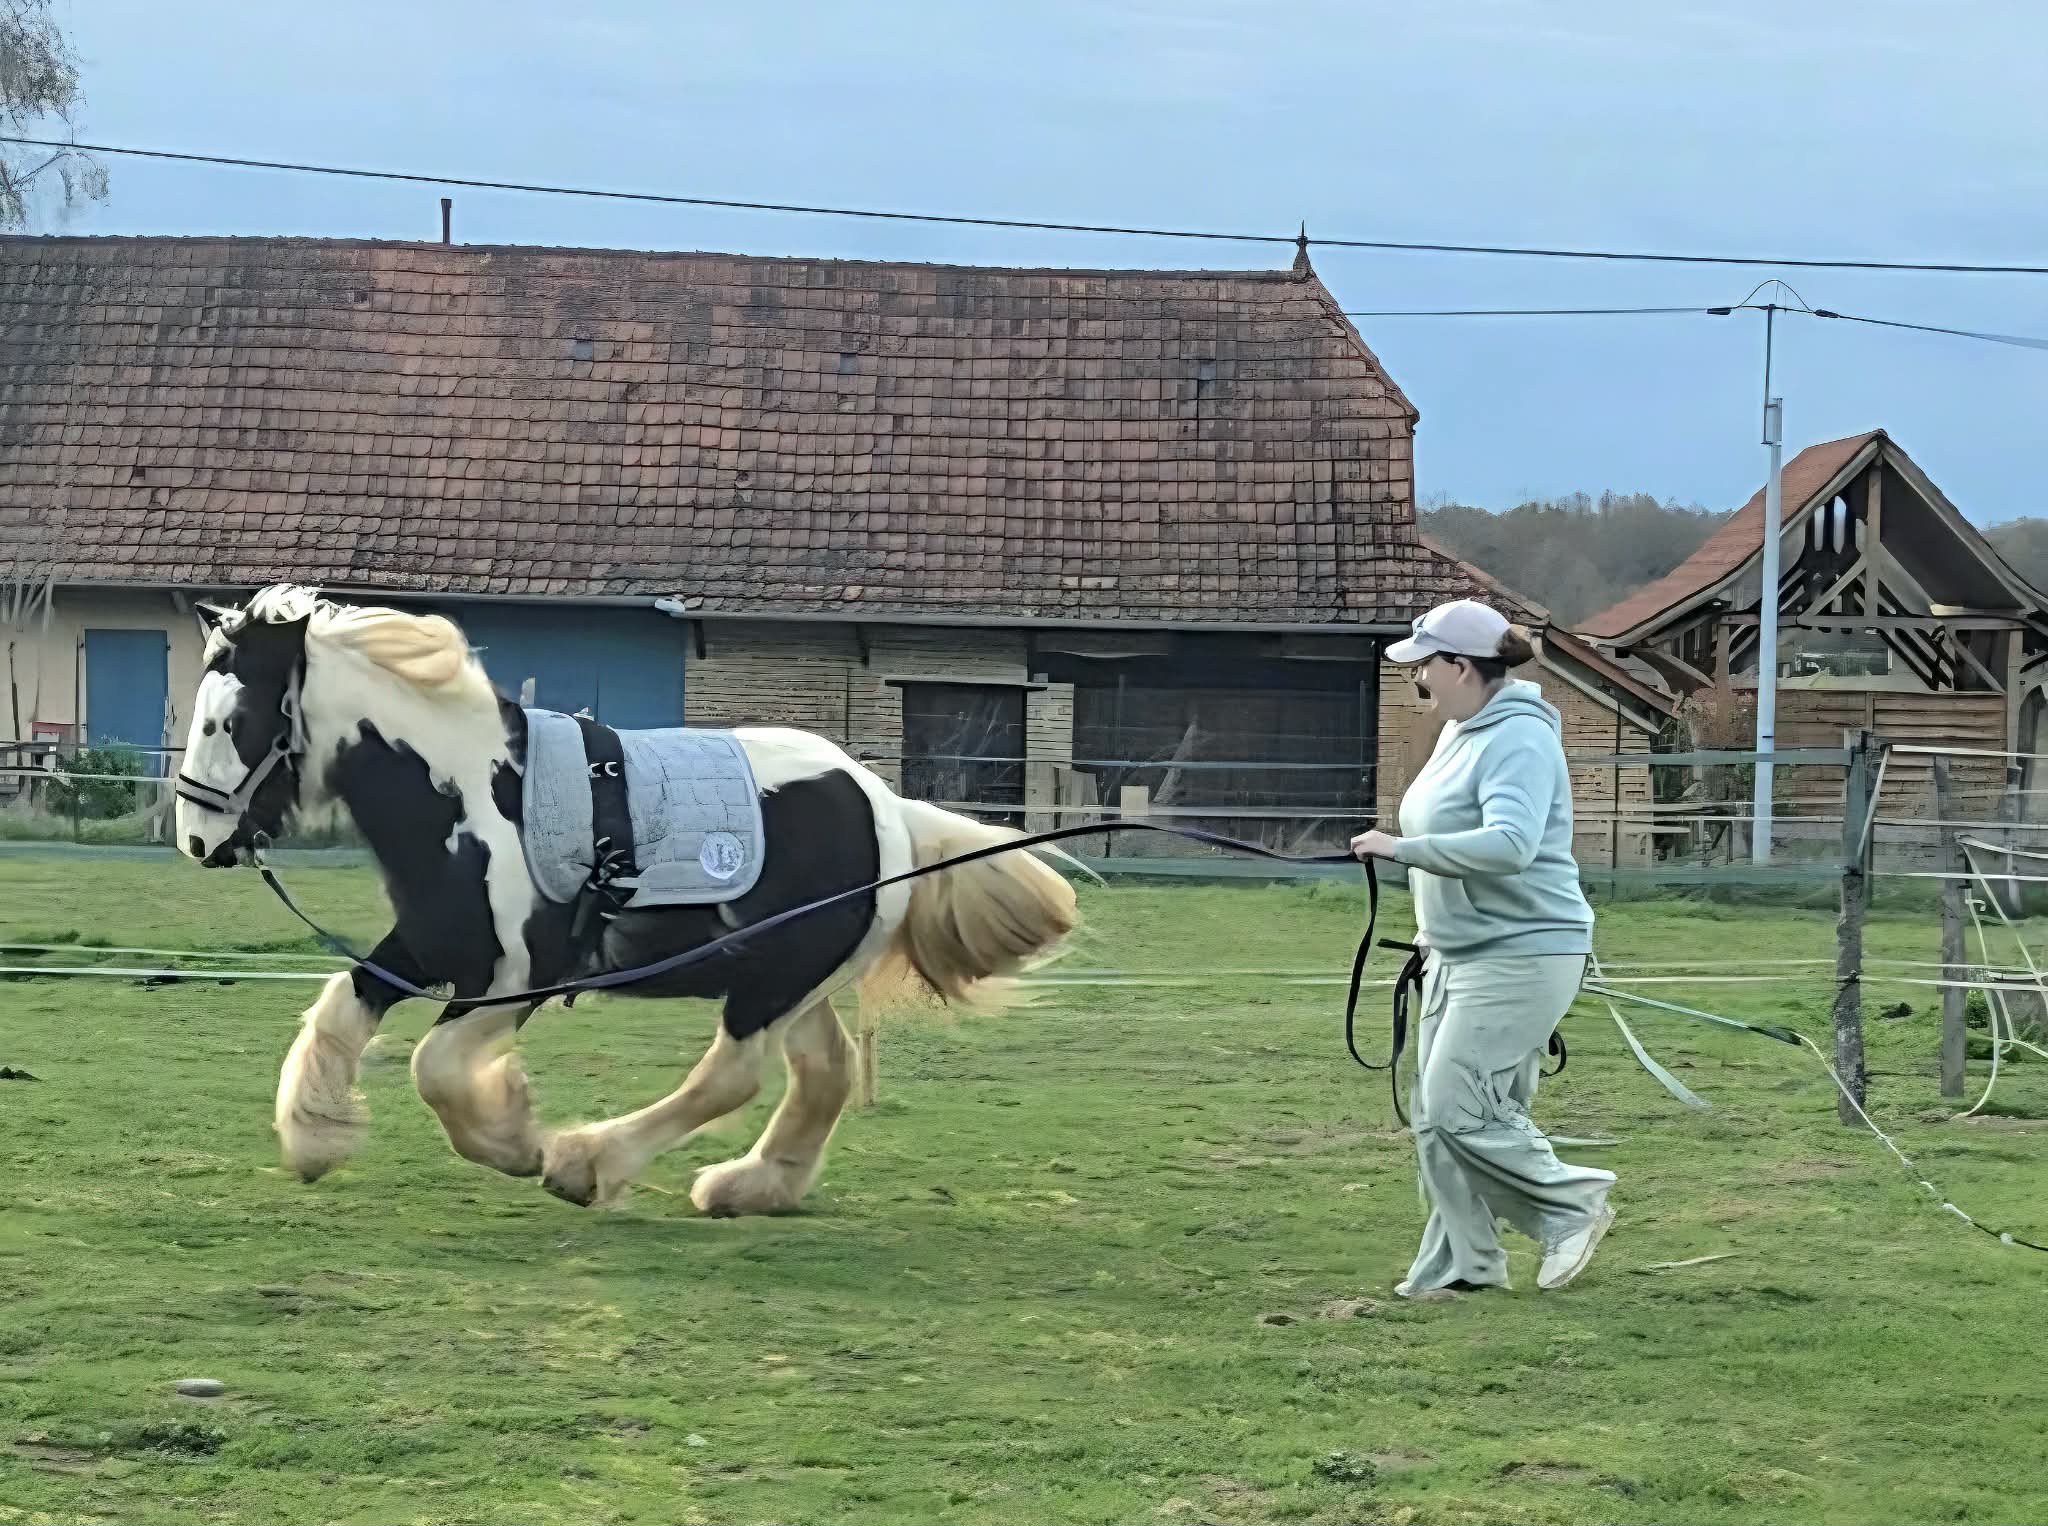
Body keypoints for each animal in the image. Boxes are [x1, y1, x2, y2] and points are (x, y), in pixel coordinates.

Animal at [172, 584, 1079, 1214]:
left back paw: (588, 1164)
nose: (197, 838)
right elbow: (340, 1006)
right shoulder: (429, 944)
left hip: (770, 983)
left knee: (732, 1077)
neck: (472, 793)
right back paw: (752, 1187)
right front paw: (315, 1138)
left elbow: (437, 1068)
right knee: (824, 1072)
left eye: (232, 720)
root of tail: (887, 805)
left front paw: (517, 1137)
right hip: (793, 980)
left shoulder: (519, 977)